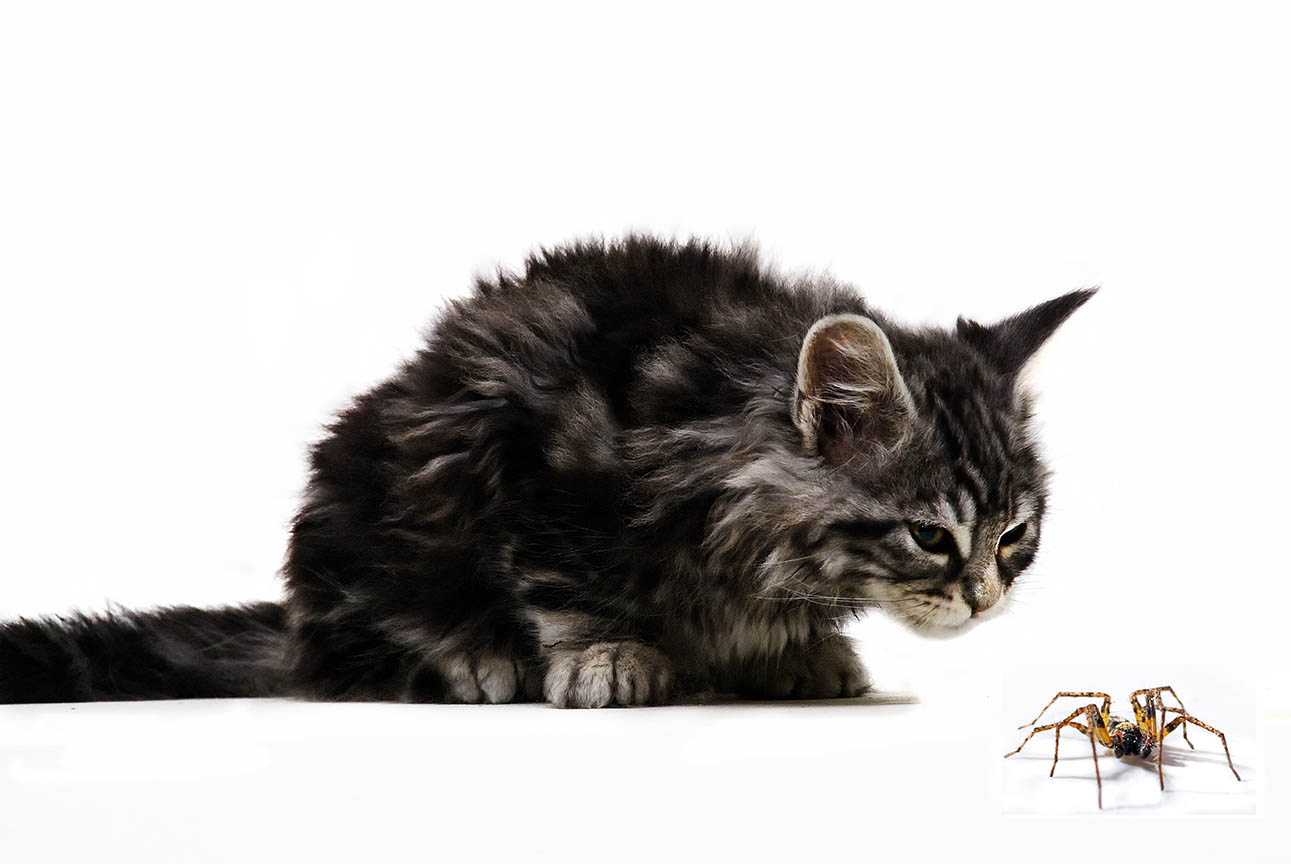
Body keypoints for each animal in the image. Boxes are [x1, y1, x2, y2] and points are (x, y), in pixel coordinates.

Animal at [0, 237, 1089, 707]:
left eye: (1014, 537)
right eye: (930, 535)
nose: (984, 596)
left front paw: (791, 649)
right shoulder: (541, 465)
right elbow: (567, 578)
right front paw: (607, 655)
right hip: (376, 489)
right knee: (358, 636)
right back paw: (468, 654)